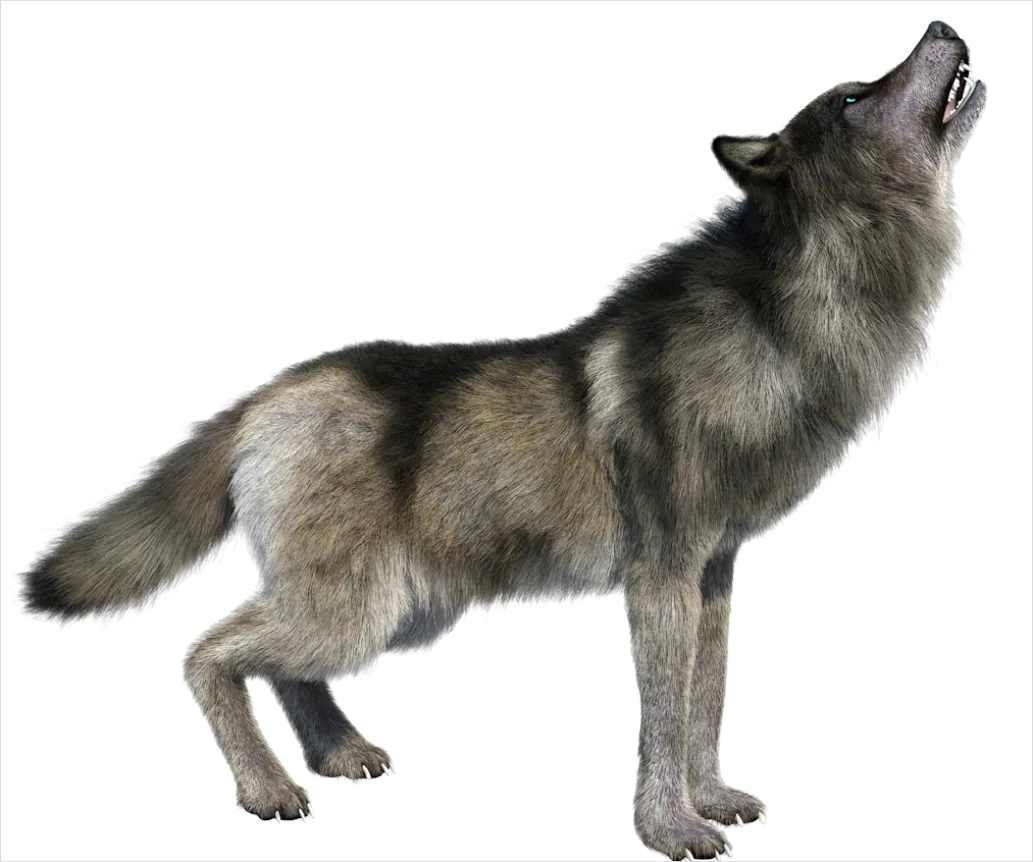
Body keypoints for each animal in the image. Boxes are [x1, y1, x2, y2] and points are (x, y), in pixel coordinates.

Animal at [13, 20, 986, 859]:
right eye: (855, 98)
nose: (944, 27)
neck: (794, 309)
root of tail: (267, 393)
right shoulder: (661, 581)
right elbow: (666, 723)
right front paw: (670, 831)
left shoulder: (713, 578)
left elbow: (706, 709)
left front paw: (711, 803)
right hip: (361, 612)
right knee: (204, 649)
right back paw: (268, 791)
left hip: (395, 617)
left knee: (280, 667)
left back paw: (341, 760)